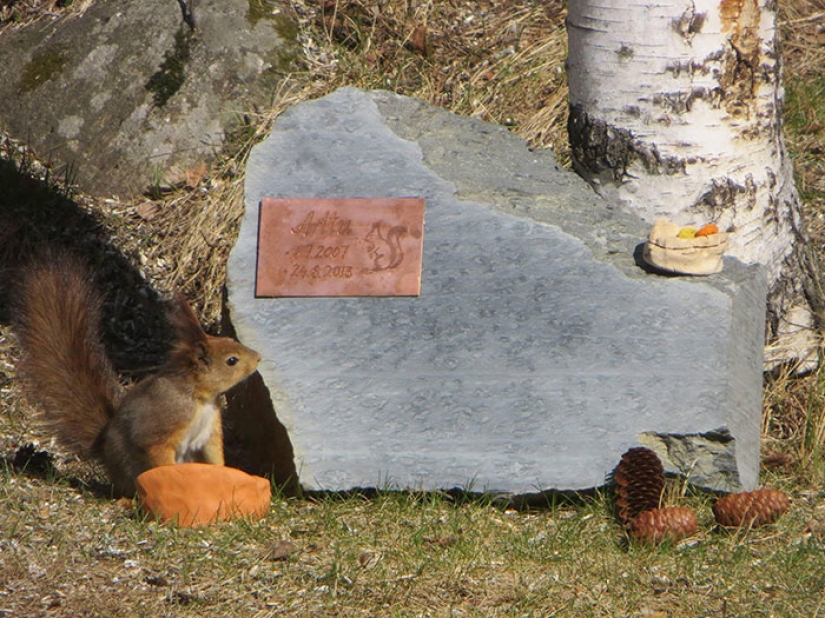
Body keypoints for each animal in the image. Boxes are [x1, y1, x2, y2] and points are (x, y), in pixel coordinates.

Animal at [13, 252, 261, 497]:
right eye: (232, 361)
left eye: (229, 339)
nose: (258, 357)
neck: (199, 397)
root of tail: (105, 452)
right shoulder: (164, 421)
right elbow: (156, 449)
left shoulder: (210, 431)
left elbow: (214, 454)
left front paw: (227, 476)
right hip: (131, 468)